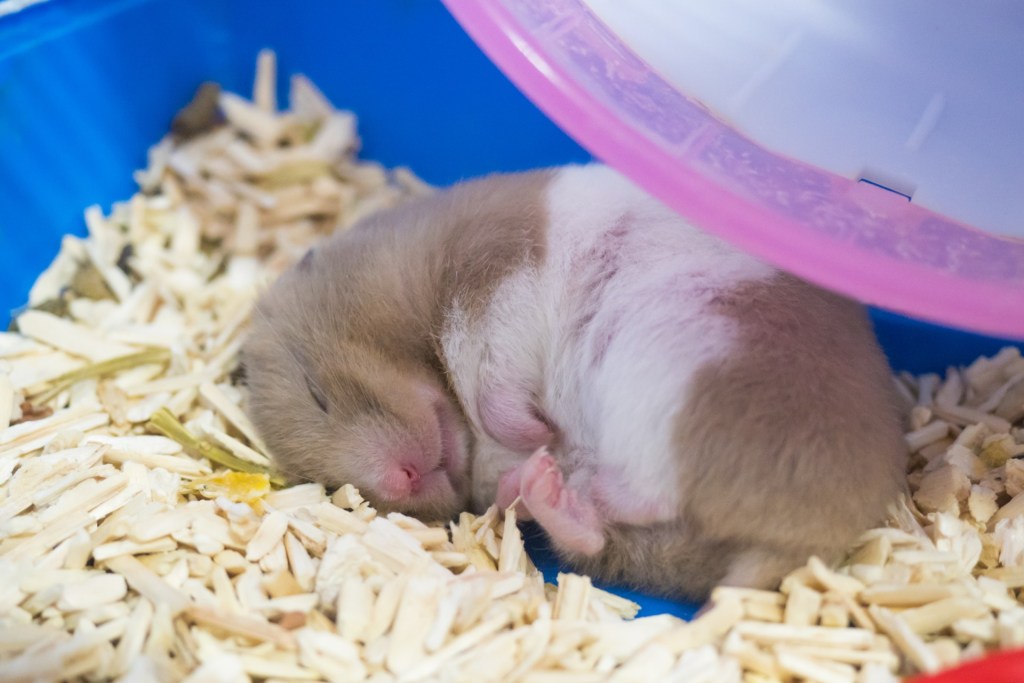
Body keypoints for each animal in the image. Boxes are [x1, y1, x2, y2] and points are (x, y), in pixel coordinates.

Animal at [242, 163, 908, 600]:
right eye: (335, 487)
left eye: (317, 392)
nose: (401, 480)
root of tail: (809, 544)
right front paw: (527, 454)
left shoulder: (492, 277)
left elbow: (492, 373)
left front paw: (531, 429)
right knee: (603, 532)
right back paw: (539, 486)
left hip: (672, 360)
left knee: (651, 489)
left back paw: (543, 466)